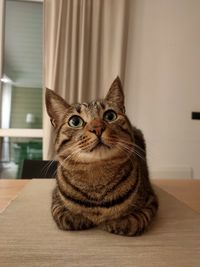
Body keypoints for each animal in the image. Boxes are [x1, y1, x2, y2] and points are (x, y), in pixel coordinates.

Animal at [45, 77, 158, 237]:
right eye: (75, 121)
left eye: (110, 116)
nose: (97, 128)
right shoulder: (55, 200)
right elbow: (63, 215)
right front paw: (77, 217)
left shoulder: (150, 201)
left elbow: (134, 221)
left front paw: (117, 222)